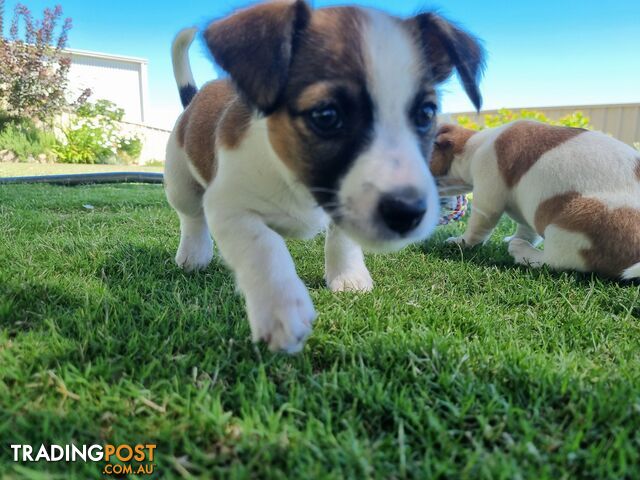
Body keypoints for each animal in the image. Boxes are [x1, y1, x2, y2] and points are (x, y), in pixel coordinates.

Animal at [165, 0, 484, 352]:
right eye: (326, 115)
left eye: (426, 113)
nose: (408, 213)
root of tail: (194, 100)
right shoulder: (229, 206)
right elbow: (264, 247)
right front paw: (281, 306)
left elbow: (341, 239)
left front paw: (348, 276)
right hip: (181, 184)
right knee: (192, 218)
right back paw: (194, 253)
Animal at [430, 121, 640, 282]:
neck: (473, 148)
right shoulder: (528, 212)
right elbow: (526, 230)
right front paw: (516, 237)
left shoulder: (486, 203)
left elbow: (477, 229)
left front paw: (461, 242)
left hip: (572, 223)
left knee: (554, 262)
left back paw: (522, 251)